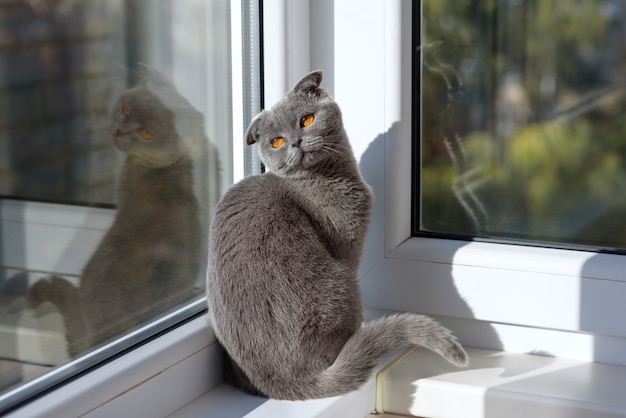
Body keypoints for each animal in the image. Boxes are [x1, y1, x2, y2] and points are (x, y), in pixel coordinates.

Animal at [207, 70, 466, 400]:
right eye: (277, 141)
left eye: (306, 119)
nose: (295, 142)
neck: (329, 177)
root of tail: (287, 383)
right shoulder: (347, 248)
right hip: (343, 285)